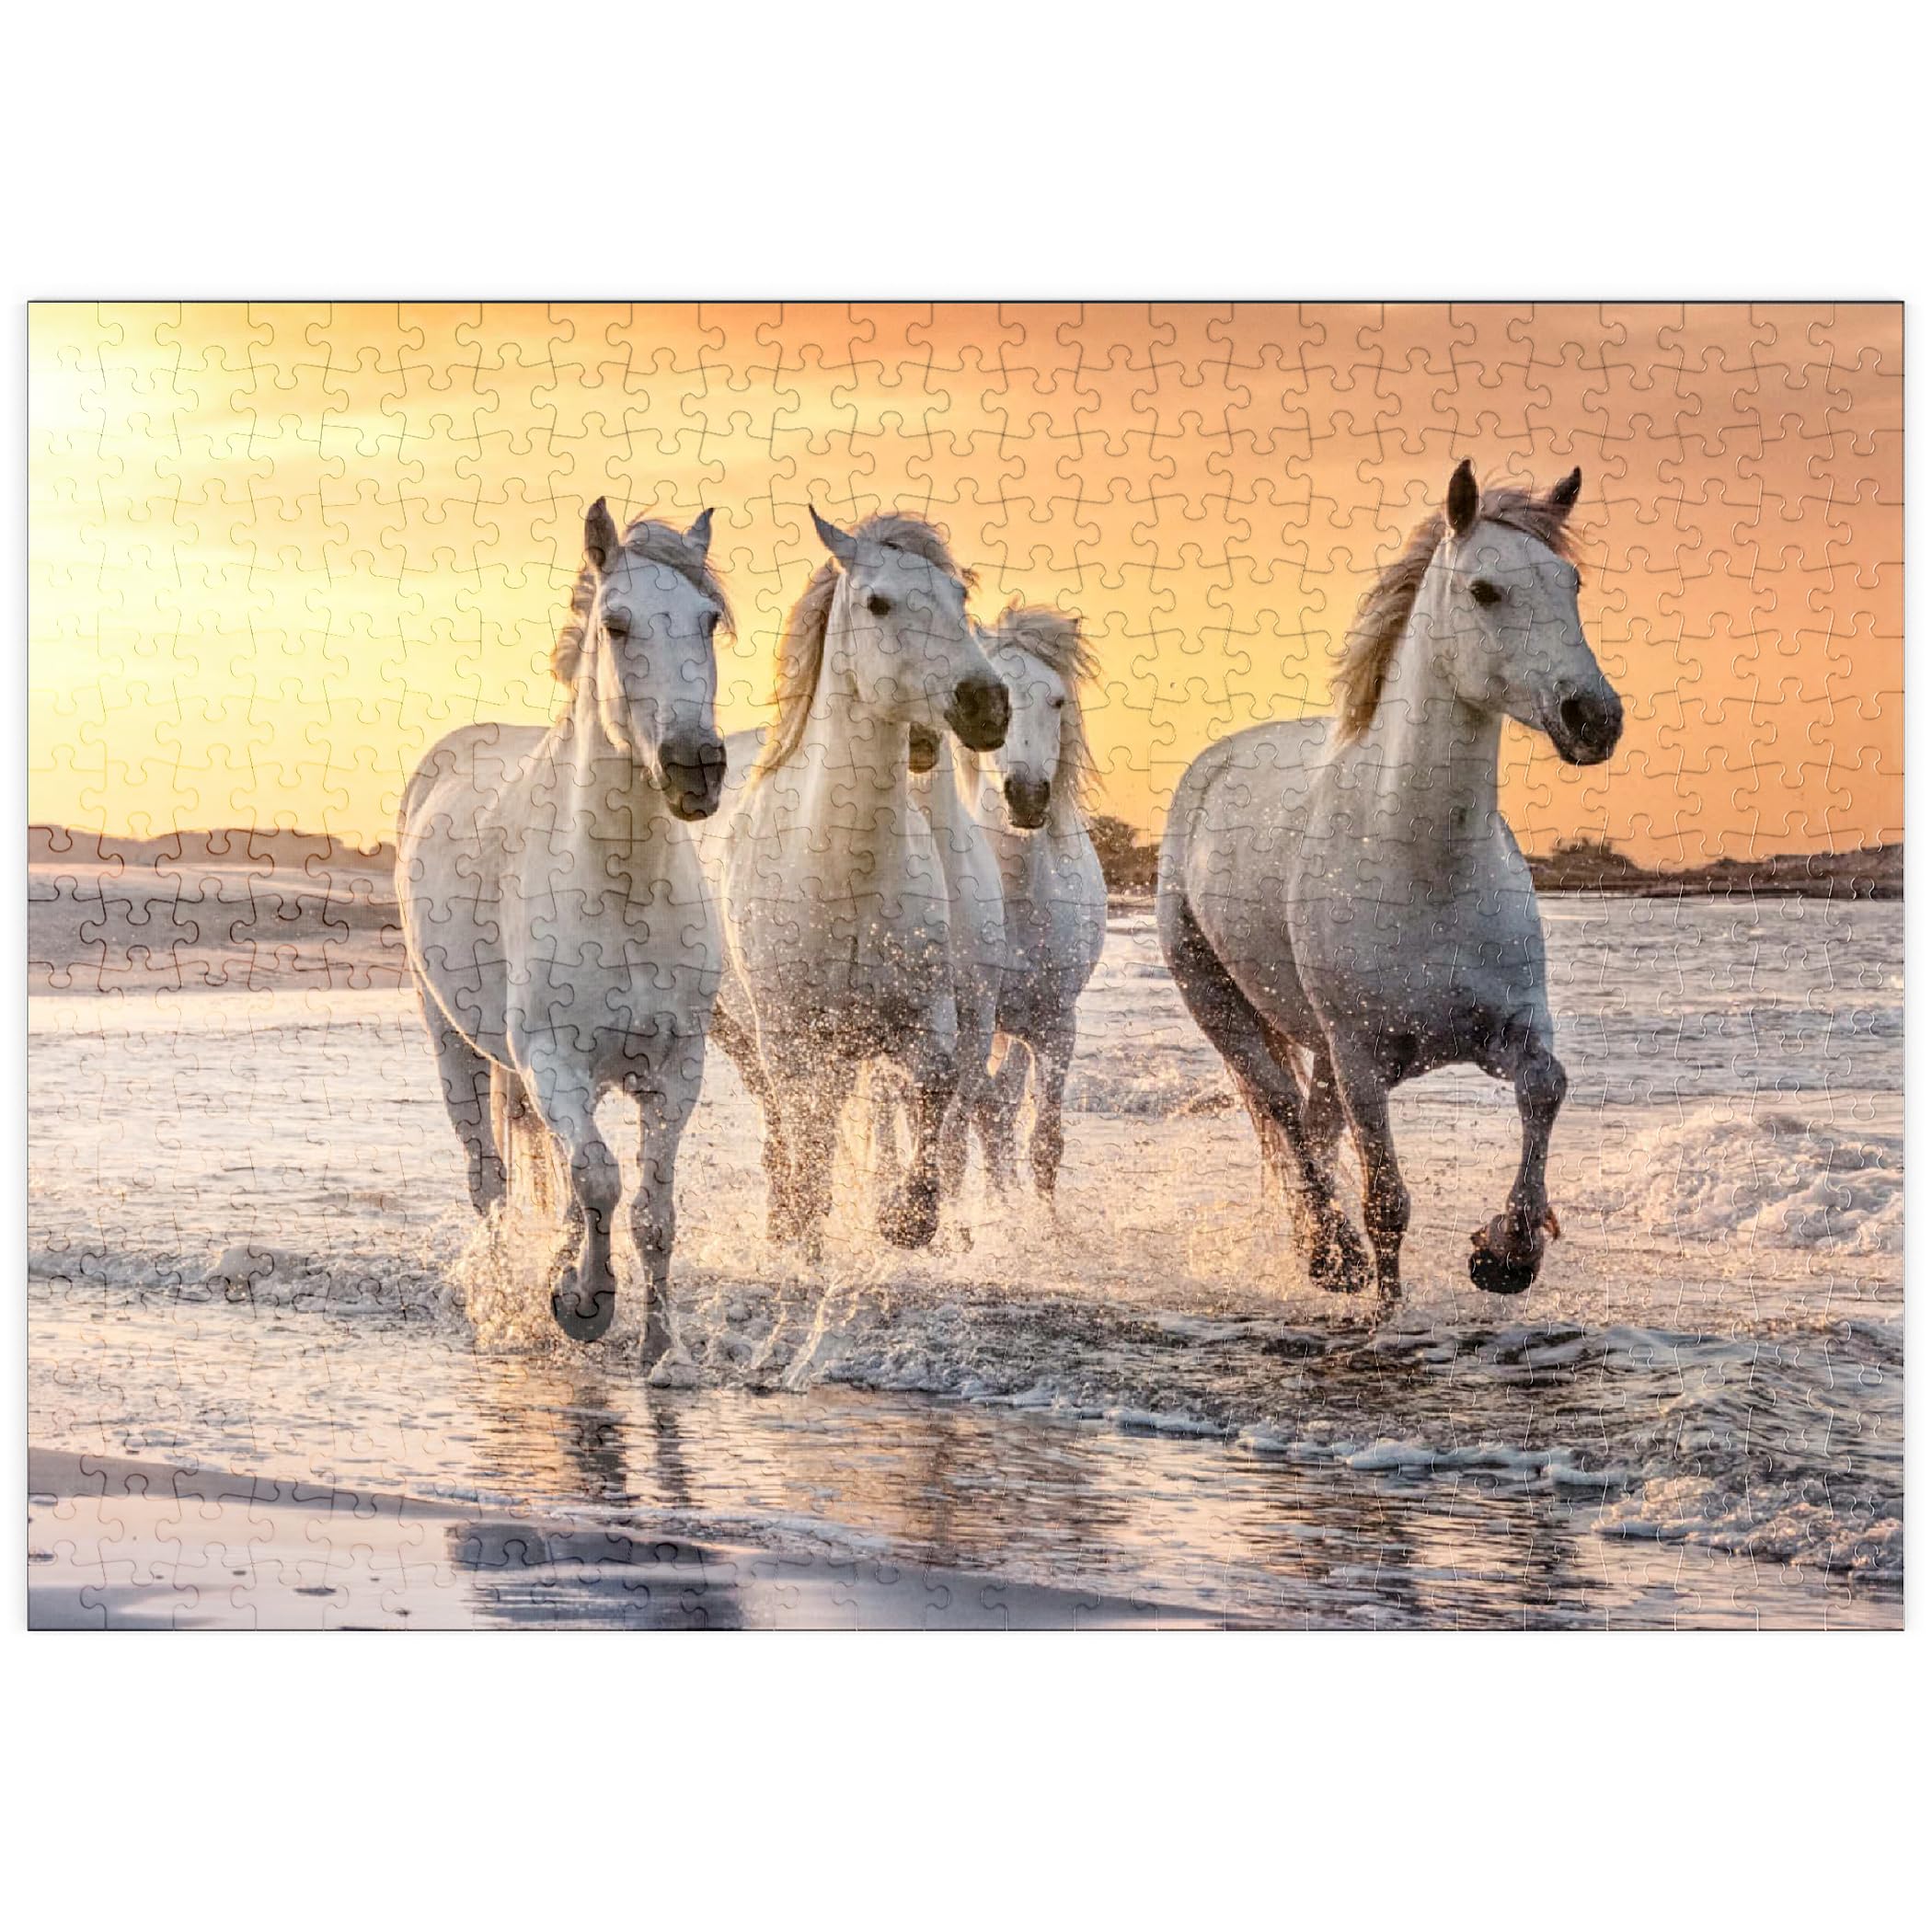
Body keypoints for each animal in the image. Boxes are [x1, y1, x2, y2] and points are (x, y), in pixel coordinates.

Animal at [397, 499, 731, 1362]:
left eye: (709, 620)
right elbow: (599, 1180)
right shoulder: (554, 1063)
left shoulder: (678, 1070)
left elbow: (650, 1210)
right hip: (453, 1045)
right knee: (489, 1180)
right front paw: (585, 1304)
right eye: (616, 624)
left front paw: (660, 1349)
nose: (696, 767)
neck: (624, 889)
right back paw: (501, 1298)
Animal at [698, 509, 1010, 1254]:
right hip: (742, 1031)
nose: (987, 704)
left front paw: (908, 1217)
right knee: (783, 1120)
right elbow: (806, 1132)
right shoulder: (789, 1035)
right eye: (878, 603)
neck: (844, 873)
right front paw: (806, 1227)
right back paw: (785, 1218)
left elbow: (934, 1088)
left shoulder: (926, 1015)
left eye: (959, 597)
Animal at [1156, 462, 1623, 1303]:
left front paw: (1506, 1252)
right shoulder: (1363, 1060)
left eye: (1570, 582)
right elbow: (1387, 1205)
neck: (1423, 865)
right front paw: (1388, 1303)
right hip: (1219, 1002)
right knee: (1282, 1113)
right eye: (1484, 590)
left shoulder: (1509, 1030)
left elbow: (1547, 1087)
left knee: (1310, 1128)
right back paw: (1329, 1253)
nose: (1594, 717)